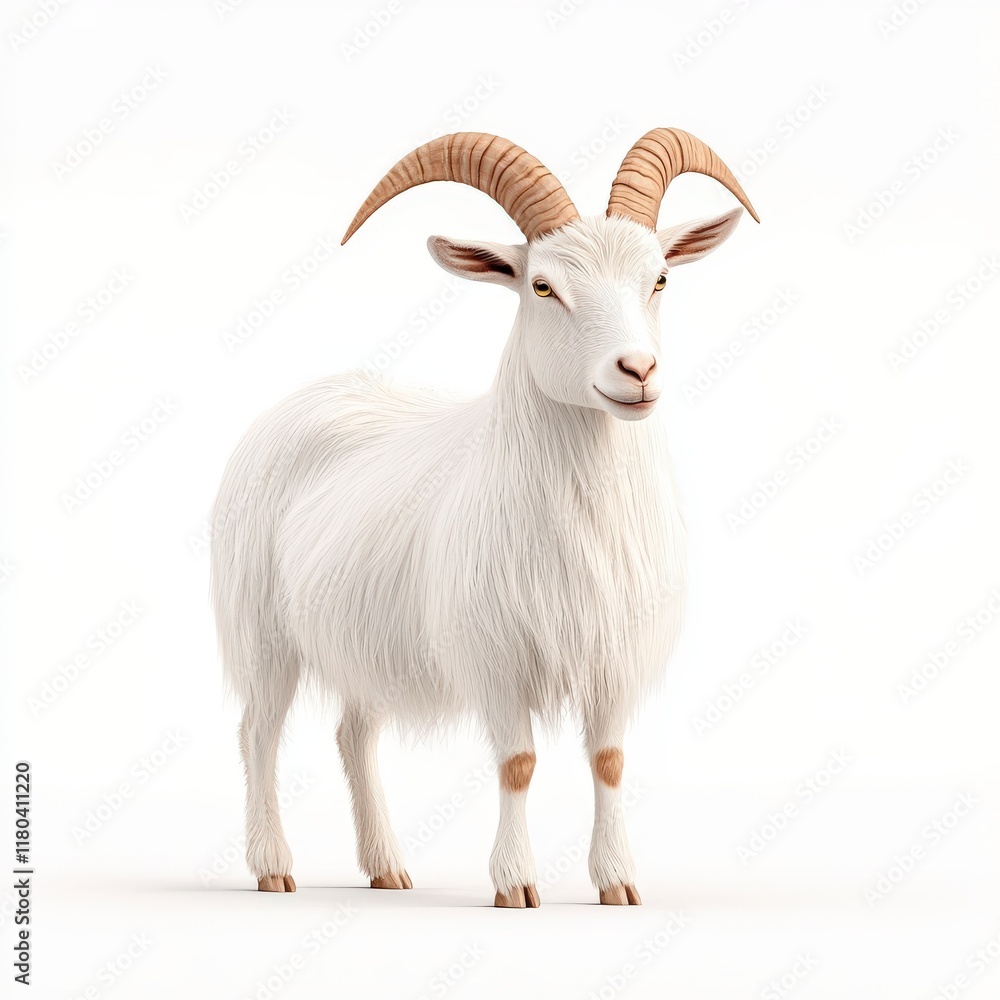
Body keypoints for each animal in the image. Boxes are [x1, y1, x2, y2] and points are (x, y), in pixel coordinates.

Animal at [211, 128, 757, 906]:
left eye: (658, 279)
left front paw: (618, 883)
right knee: (257, 732)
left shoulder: (612, 661)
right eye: (543, 286)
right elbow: (518, 763)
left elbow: (610, 761)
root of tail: (314, 393)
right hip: (261, 630)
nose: (638, 371)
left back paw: (387, 868)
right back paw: (273, 867)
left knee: (354, 736)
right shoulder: (496, 659)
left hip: (366, 637)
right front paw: (516, 885)